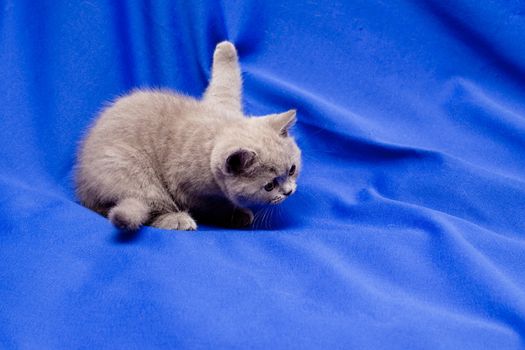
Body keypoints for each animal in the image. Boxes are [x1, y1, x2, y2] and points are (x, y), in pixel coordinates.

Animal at [75, 41, 300, 231]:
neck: (217, 129)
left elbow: (226, 84)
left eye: (292, 169)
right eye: (269, 186)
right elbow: (213, 206)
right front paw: (237, 214)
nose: (289, 191)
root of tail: (82, 187)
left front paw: (225, 48)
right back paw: (177, 220)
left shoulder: (223, 104)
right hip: (132, 171)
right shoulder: (188, 189)